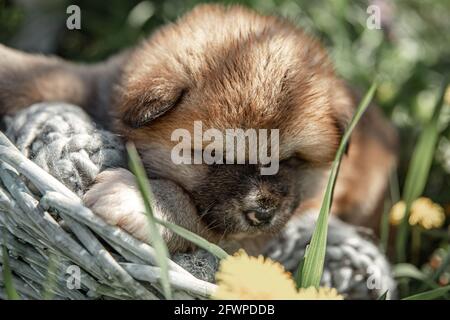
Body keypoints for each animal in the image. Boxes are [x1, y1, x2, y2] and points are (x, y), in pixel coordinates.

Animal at [0, 3, 396, 252]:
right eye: (215, 155)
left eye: (291, 160)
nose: (263, 212)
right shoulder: (97, 82)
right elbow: (48, 76)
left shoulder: (265, 236)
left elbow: (201, 225)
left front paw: (143, 200)